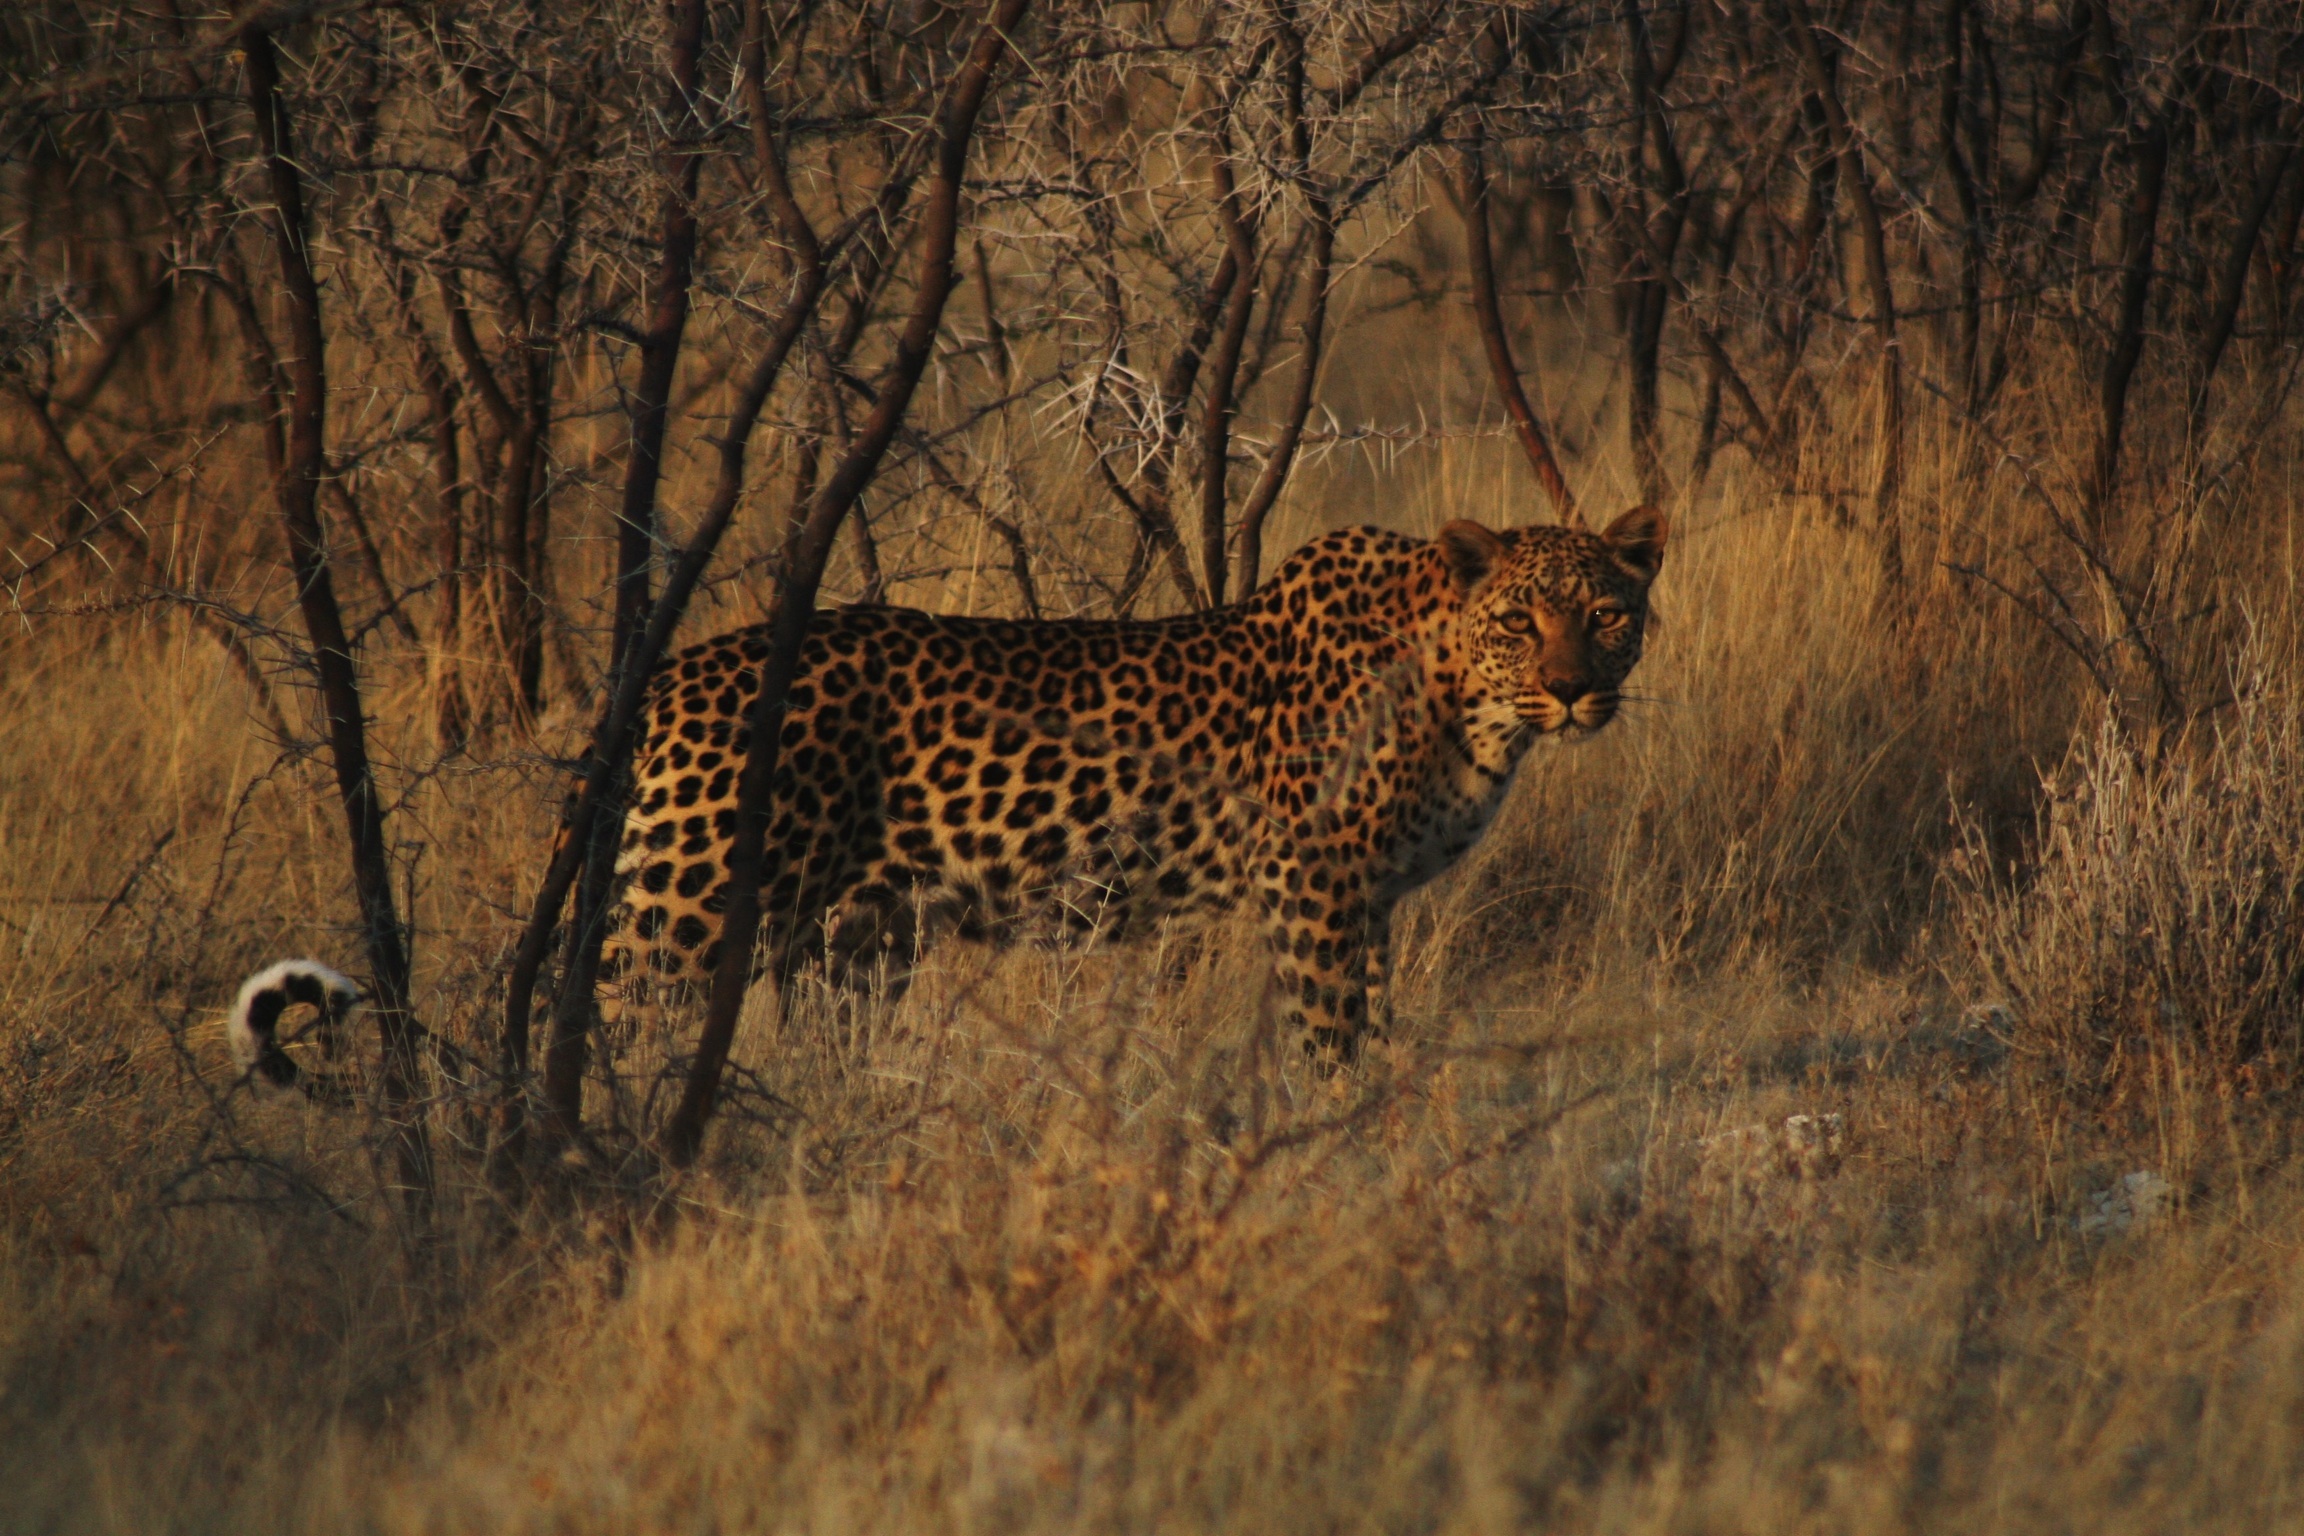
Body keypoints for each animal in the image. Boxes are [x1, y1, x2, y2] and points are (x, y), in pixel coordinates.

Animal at [598, 506, 1666, 1060]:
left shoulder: (1371, 896)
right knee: (619, 1036)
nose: (1572, 691)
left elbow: (1374, 1012)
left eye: (1608, 615)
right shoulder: (1312, 878)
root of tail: (671, 672)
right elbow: (1331, 1031)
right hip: (683, 915)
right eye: (1521, 621)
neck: (1471, 706)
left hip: (854, 941)